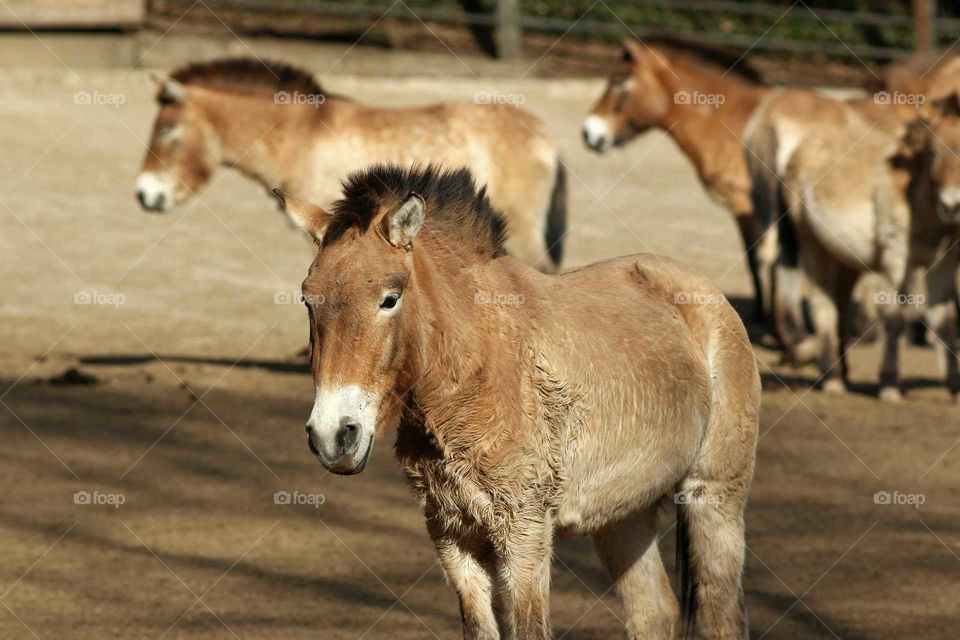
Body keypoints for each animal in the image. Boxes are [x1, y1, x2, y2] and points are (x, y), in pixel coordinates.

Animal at [276, 164, 761, 639]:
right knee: (653, 613)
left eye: (389, 299)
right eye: (307, 300)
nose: (333, 436)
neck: (477, 376)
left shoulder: (525, 534)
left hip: (715, 499)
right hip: (624, 515)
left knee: (722, 615)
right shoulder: (451, 535)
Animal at [777, 103, 960, 400]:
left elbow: (945, 320)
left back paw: (842, 372)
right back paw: (833, 379)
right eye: (933, 153)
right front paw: (889, 384)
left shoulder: (943, 263)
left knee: (840, 305)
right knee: (822, 304)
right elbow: (894, 317)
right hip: (813, 246)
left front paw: (954, 388)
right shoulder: (895, 259)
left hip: (845, 260)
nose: (952, 207)